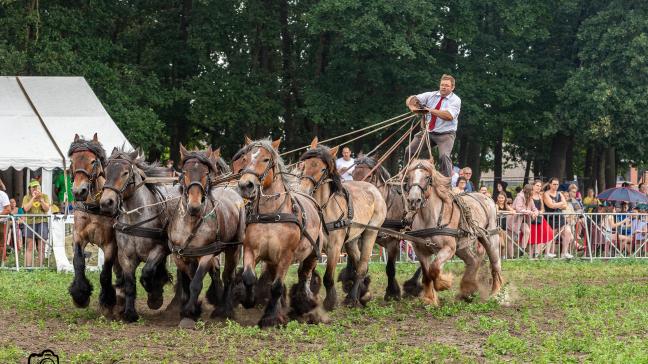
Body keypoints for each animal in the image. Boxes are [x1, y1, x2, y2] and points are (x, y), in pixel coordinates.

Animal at [68, 134, 123, 316]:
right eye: (72, 160)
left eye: (93, 161)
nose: (79, 191)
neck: (94, 204)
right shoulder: (78, 236)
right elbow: (78, 262)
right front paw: (80, 295)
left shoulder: (110, 244)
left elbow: (105, 273)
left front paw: (107, 301)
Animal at [167, 144, 246, 328]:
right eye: (185, 172)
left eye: (205, 173)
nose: (194, 206)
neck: (191, 222)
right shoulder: (180, 256)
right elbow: (187, 283)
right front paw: (191, 310)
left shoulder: (207, 255)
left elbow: (196, 283)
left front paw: (189, 312)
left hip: (234, 248)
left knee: (229, 276)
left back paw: (224, 310)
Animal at [298, 138, 384, 308]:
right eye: (303, 164)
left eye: (323, 169)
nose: (303, 190)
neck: (323, 208)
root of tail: (373, 189)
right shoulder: (312, 245)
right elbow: (303, 273)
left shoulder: (335, 247)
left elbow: (328, 277)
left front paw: (330, 302)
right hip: (352, 239)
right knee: (358, 263)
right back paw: (364, 293)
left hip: (371, 232)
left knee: (362, 266)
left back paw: (353, 298)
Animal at [404, 159, 502, 304]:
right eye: (408, 177)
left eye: (427, 177)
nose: (413, 200)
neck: (430, 218)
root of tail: (487, 198)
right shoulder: (420, 250)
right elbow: (427, 274)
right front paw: (429, 299)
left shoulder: (448, 248)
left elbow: (434, 268)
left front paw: (443, 284)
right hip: (462, 246)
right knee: (473, 261)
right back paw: (467, 290)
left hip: (490, 239)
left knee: (495, 264)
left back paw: (495, 294)